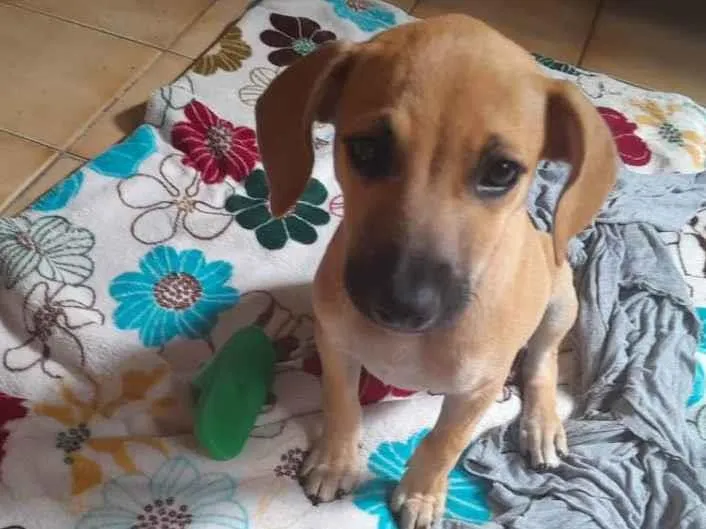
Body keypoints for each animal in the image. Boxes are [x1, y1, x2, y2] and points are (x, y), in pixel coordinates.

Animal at [255, 14, 616, 529]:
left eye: (502, 171)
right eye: (365, 149)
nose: (401, 306)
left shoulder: (477, 390)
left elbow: (444, 443)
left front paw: (422, 494)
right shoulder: (337, 346)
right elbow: (342, 406)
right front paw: (335, 462)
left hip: (560, 301)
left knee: (541, 360)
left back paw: (542, 423)